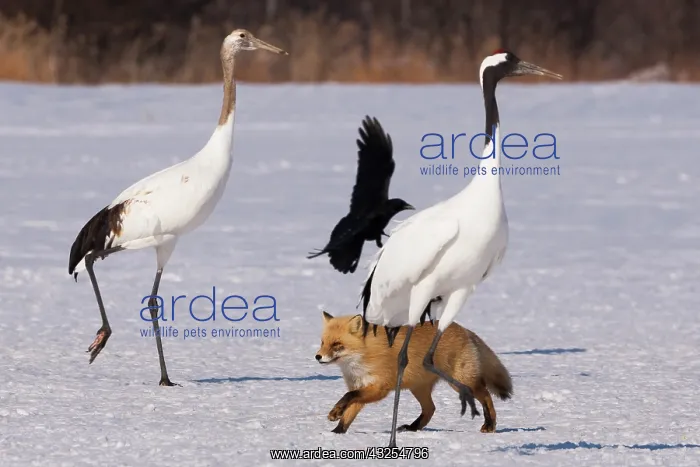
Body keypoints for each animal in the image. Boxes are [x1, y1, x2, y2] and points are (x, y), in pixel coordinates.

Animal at [315, 311, 513, 434]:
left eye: (337, 345)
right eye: (323, 342)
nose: (318, 357)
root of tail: (464, 329)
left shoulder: (379, 388)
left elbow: (347, 397)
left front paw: (335, 413)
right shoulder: (361, 386)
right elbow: (348, 413)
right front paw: (336, 432)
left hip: (461, 382)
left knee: (486, 396)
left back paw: (490, 424)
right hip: (418, 388)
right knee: (430, 408)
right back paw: (412, 428)